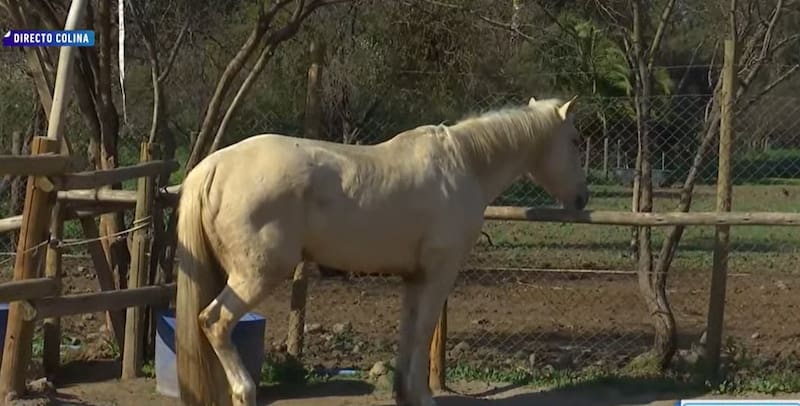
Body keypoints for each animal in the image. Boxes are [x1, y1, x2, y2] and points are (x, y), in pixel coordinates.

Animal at [174, 96, 589, 406]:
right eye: (574, 140)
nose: (583, 199)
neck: (464, 164)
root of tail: (211, 168)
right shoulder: (439, 274)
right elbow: (423, 332)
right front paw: (423, 397)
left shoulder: (414, 277)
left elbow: (409, 332)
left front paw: (404, 393)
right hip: (257, 275)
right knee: (215, 322)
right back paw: (244, 391)